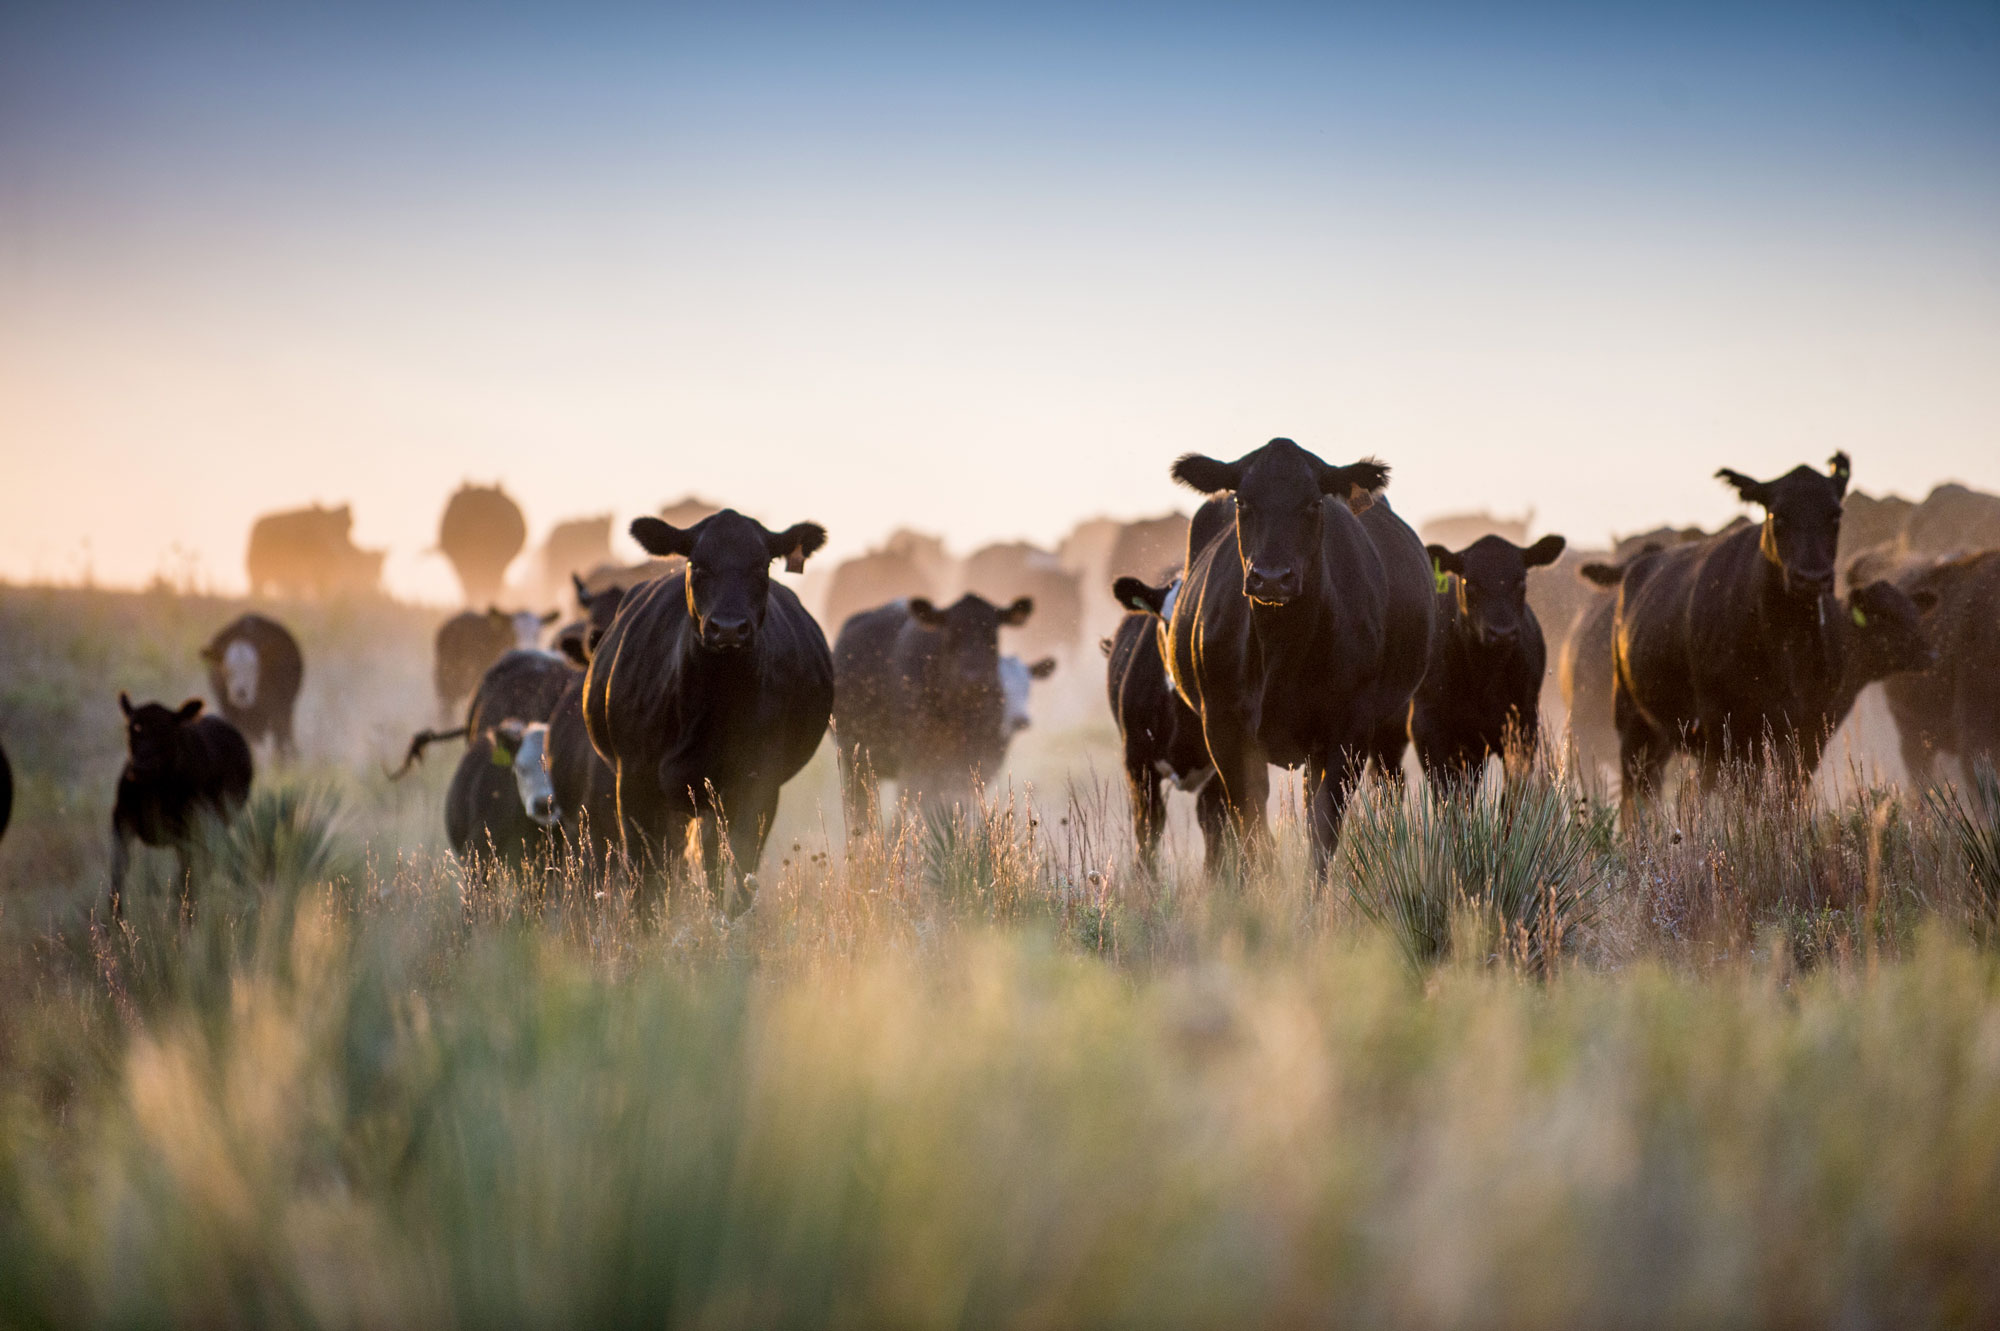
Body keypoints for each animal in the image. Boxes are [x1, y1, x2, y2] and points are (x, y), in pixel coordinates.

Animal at [108, 694, 253, 911]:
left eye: (167, 731)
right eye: (132, 728)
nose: (142, 767)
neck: (154, 791)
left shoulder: (193, 832)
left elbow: (189, 876)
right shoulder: (121, 821)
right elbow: (118, 874)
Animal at [582, 509, 833, 913]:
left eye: (761, 565)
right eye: (697, 565)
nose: (728, 628)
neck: (710, 707)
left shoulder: (758, 783)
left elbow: (742, 873)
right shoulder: (633, 782)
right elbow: (644, 882)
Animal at [832, 594, 1035, 822]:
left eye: (992, 636)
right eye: (951, 635)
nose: (974, 679)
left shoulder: (978, 764)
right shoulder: (916, 765)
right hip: (854, 762)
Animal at [1165, 438, 1435, 875]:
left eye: (1313, 502)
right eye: (1242, 500)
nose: (1272, 577)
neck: (1280, 651)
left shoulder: (1347, 732)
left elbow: (1322, 828)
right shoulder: (1222, 728)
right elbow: (1253, 828)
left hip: (1388, 723)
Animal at [1612, 454, 1855, 804]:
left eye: (1835, 514)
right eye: (1777, 515)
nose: (1811, 577)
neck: (1786, 641)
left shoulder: (1810, 727)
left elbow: (1789, 796)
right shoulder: (1730, 726)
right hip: (1633, 721)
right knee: (1636, 794)